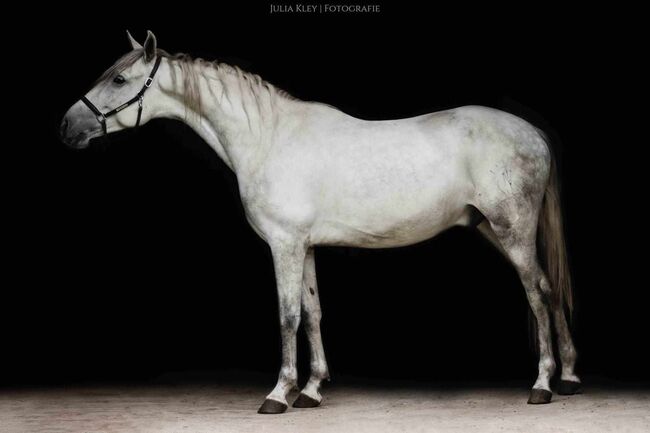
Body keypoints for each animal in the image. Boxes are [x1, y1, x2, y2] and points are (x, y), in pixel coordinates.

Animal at [59, 32, 576, 414]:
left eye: (120, 79)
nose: (67, 127)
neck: (268, 138)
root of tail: (533, 133)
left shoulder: (284, 245)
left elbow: (287, 315)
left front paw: (278, 394)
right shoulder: (304, 246)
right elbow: (312, 313)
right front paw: (310, 390)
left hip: (512, 229)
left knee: (536, 292)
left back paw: (543, 384)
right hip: (493, 229)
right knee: (549, 289)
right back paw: (569, 376)